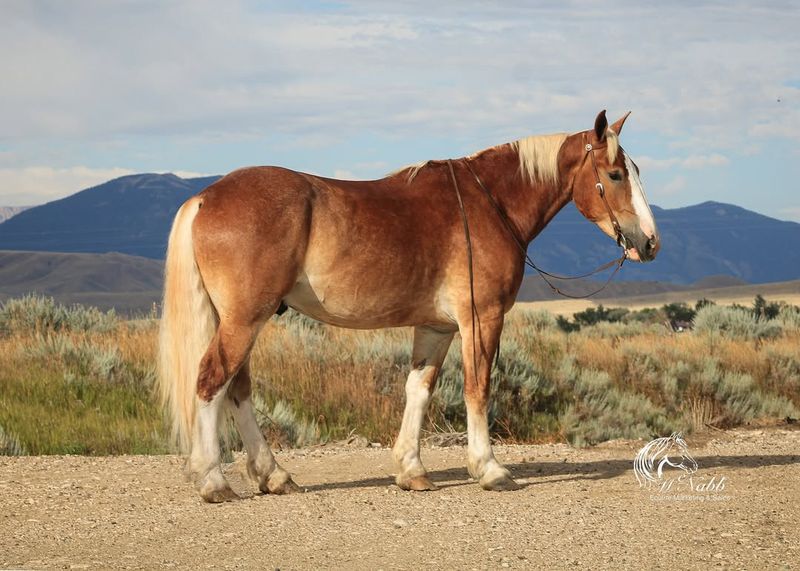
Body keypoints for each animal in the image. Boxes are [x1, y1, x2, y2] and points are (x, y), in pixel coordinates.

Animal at [158, 109, 664, 502]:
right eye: (616, 174)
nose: (650, 242)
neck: (490, 203)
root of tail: (204, 197)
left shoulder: (437, 328)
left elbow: (418, 390)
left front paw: (411, 470)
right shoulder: (481, 319)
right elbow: (478, 389)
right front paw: (489, 469)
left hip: (241, 321)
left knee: (237, 389)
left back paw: (274, 475)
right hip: (245, 319)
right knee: (212, 382)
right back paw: (213, 480)